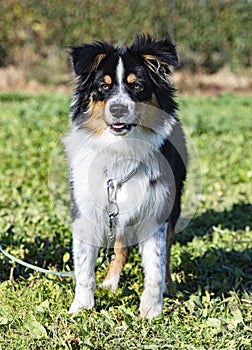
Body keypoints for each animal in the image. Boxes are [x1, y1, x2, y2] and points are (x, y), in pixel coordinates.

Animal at [64, 35, 187, 320]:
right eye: (103, 87)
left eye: (137, 86)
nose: (118, 109)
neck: (121, 148)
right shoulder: (88, 208)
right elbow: (84, 268)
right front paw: (81, 307)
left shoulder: (156, 208)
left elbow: (156, 265)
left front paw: (151, 310)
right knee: (120, 246)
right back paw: (110, 283)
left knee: (167, 248)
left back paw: (169, 285)